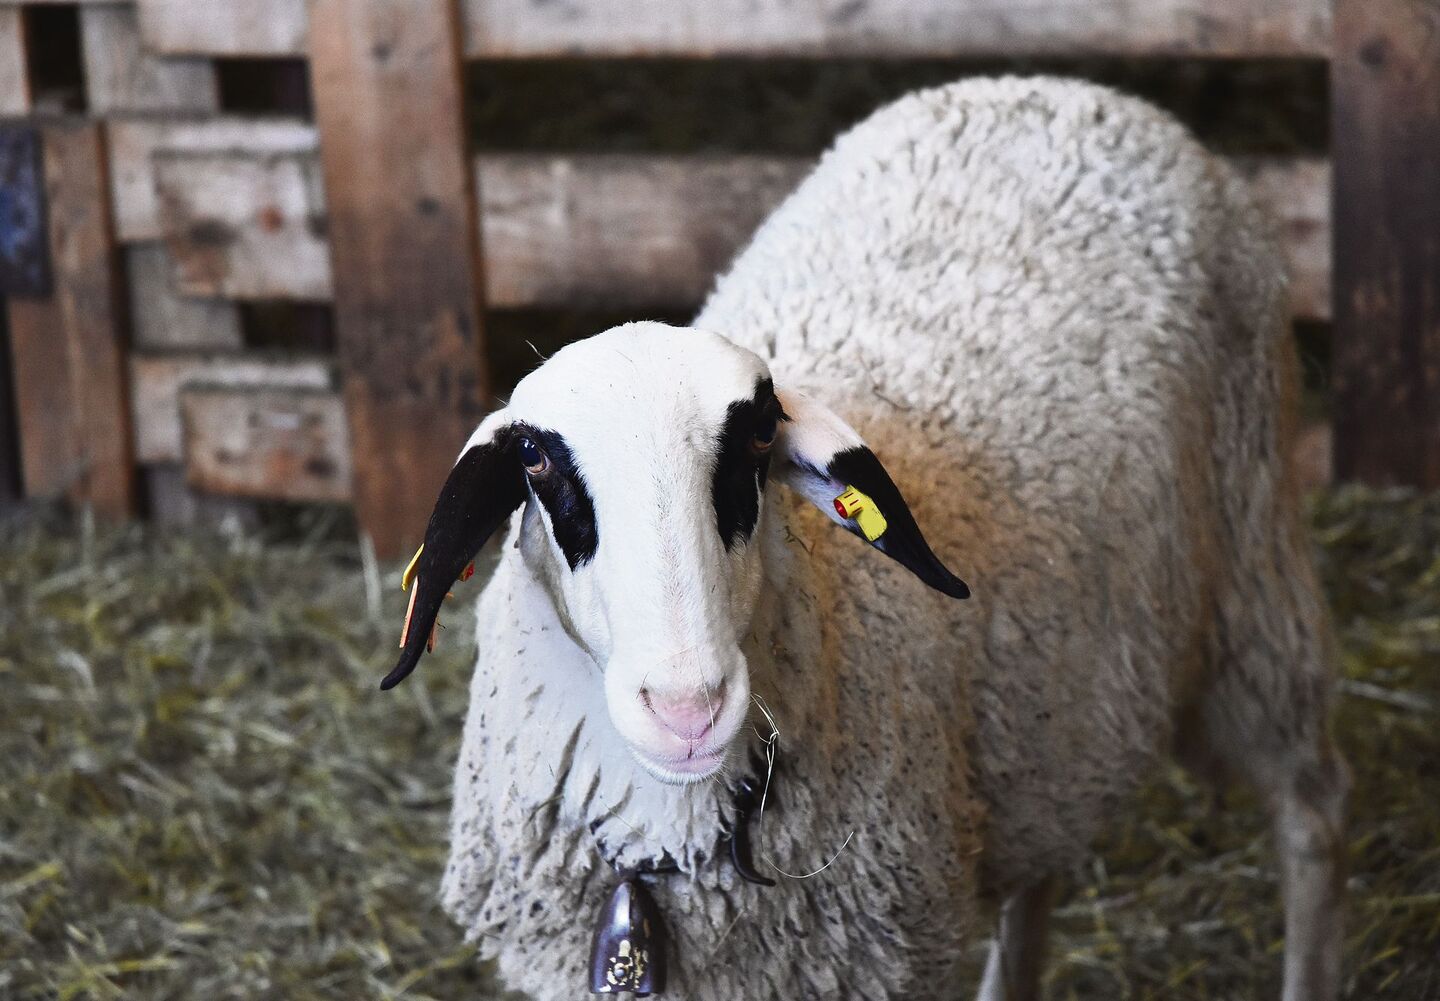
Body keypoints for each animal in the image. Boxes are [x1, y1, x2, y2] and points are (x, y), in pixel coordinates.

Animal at [382, 77, 1348, 1001]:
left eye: (759, 438)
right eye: (536, 460)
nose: (689, 709)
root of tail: (1071, 89)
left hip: (1255, 566)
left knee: (1312, 811)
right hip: (1054, 714)